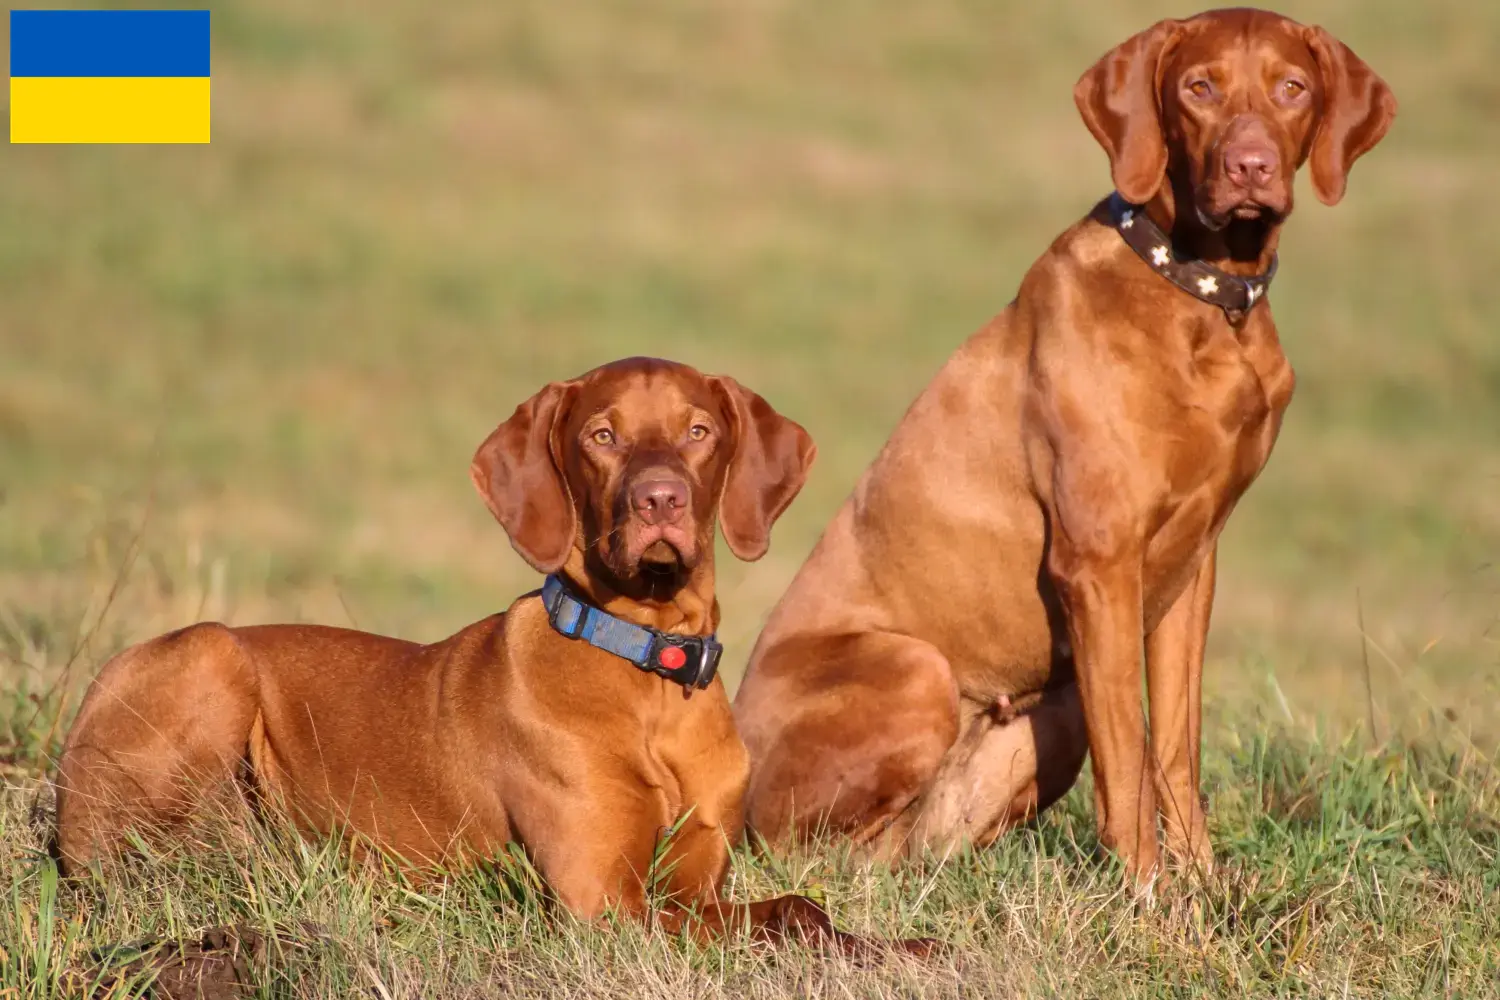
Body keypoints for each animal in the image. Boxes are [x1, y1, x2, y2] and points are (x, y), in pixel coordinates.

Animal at [58, 359, 918, 953]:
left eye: (698, 431)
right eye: (602, 436)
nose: (660, 499)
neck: (649, 667)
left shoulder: (693, 884)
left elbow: (803, 911)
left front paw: (904, 947)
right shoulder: (603, 902)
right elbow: (783, 924)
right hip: (210, 655)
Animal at [732, 9, 1398, 881]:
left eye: (1292, 88)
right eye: (1199, 87)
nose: (1250, 165)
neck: (1203, 301)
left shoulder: (1192, 569)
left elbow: (1174, 748)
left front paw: (1204, 889)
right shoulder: (1100, 564)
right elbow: (1130, 758)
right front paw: (1147, 895)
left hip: (1047, 717)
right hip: (914, 671)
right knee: (806, 851)